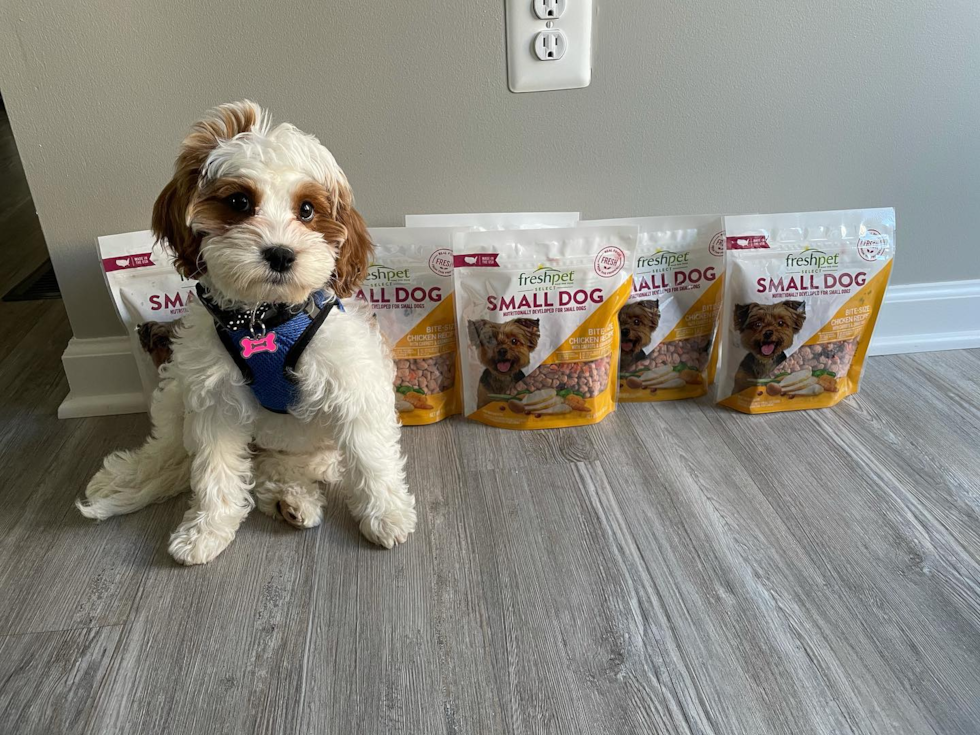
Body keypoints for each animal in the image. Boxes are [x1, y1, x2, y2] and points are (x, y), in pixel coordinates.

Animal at [77, 100, 414, 568]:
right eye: (239, 202)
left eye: (307, 210)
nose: (280, 254)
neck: (262, 318)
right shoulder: (213, 398)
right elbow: (212, 469)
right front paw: (205, 530)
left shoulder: (353, 384)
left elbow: (370, 456)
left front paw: (387, 515)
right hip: (178, 388)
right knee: (170, 448)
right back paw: (128, 476)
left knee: (279, 467)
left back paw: (292, 500)